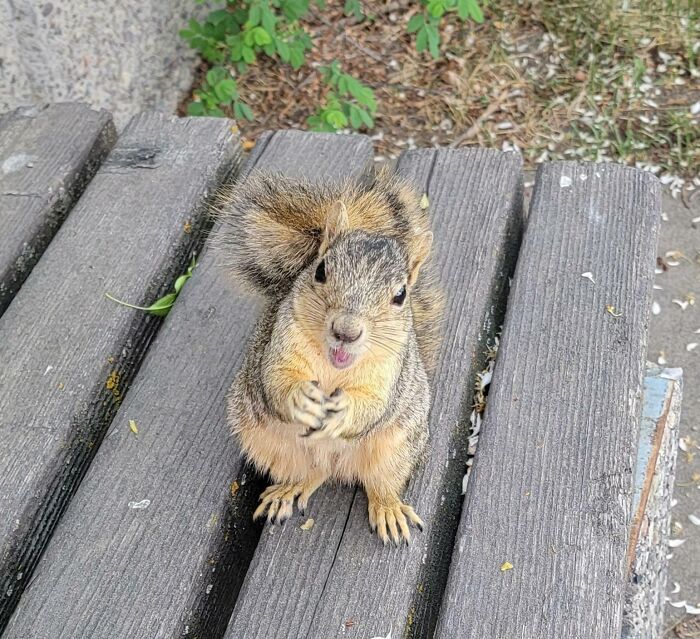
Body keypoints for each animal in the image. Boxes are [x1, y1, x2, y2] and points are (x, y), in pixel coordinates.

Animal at [215, 166, 442, 544]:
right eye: (320, 271)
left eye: (400, 296)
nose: (346, 331)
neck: (334, 367)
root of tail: (337, 464)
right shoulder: (281, 344)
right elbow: (276, 379)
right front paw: (300, 397)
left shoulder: (388, 372)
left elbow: (373, 406)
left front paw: (344, 411)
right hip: (266, 442)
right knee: (312, 473)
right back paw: (288, 489)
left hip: (397, 448)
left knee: (381, 484)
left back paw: (389, 509)